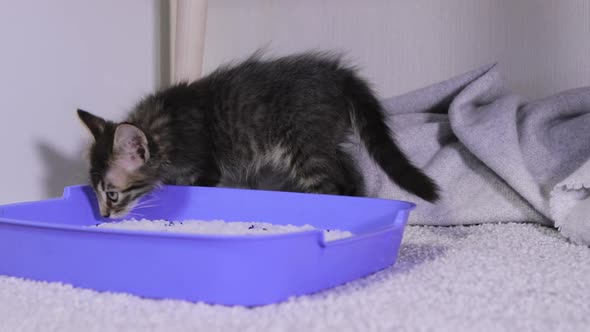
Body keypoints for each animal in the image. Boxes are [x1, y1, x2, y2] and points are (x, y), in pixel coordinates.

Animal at [77, 52, 440, 218]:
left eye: (112, 195)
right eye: (96, 193)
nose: (104, 215)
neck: (161, 130)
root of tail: (340, 75)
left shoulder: (206, 166)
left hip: (305, 147)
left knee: (331, 185)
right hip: (326, 141)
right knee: (351, 175)